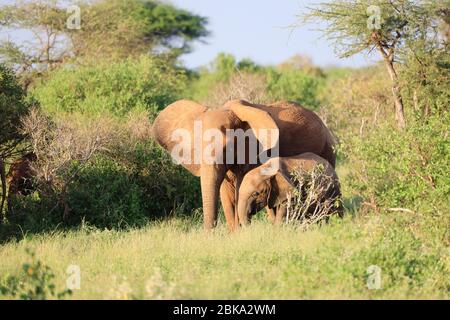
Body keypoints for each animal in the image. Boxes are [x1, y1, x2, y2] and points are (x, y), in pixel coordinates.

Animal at [153, 99, 336, 230]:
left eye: (227, 148)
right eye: (196, 149)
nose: (209, 236)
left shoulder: (254, 151)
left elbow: (241, 187)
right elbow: (225, 192)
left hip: (327, 149)